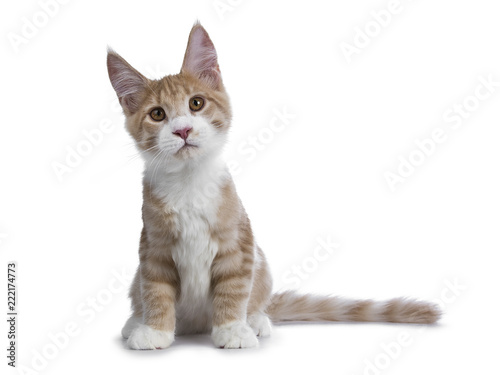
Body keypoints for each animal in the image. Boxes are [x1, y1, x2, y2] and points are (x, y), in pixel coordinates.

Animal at [107, 22, 440, 352]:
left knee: (255, 300)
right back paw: (135, 323)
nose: (183, 130)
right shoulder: (153, 249)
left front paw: (232, 329)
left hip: (261, 264)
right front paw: (155, 330)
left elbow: (233, 289)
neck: (189, 182)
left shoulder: (239, 245)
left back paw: (254, 321)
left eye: (196, 104)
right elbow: (156, 291)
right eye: (157, 114)